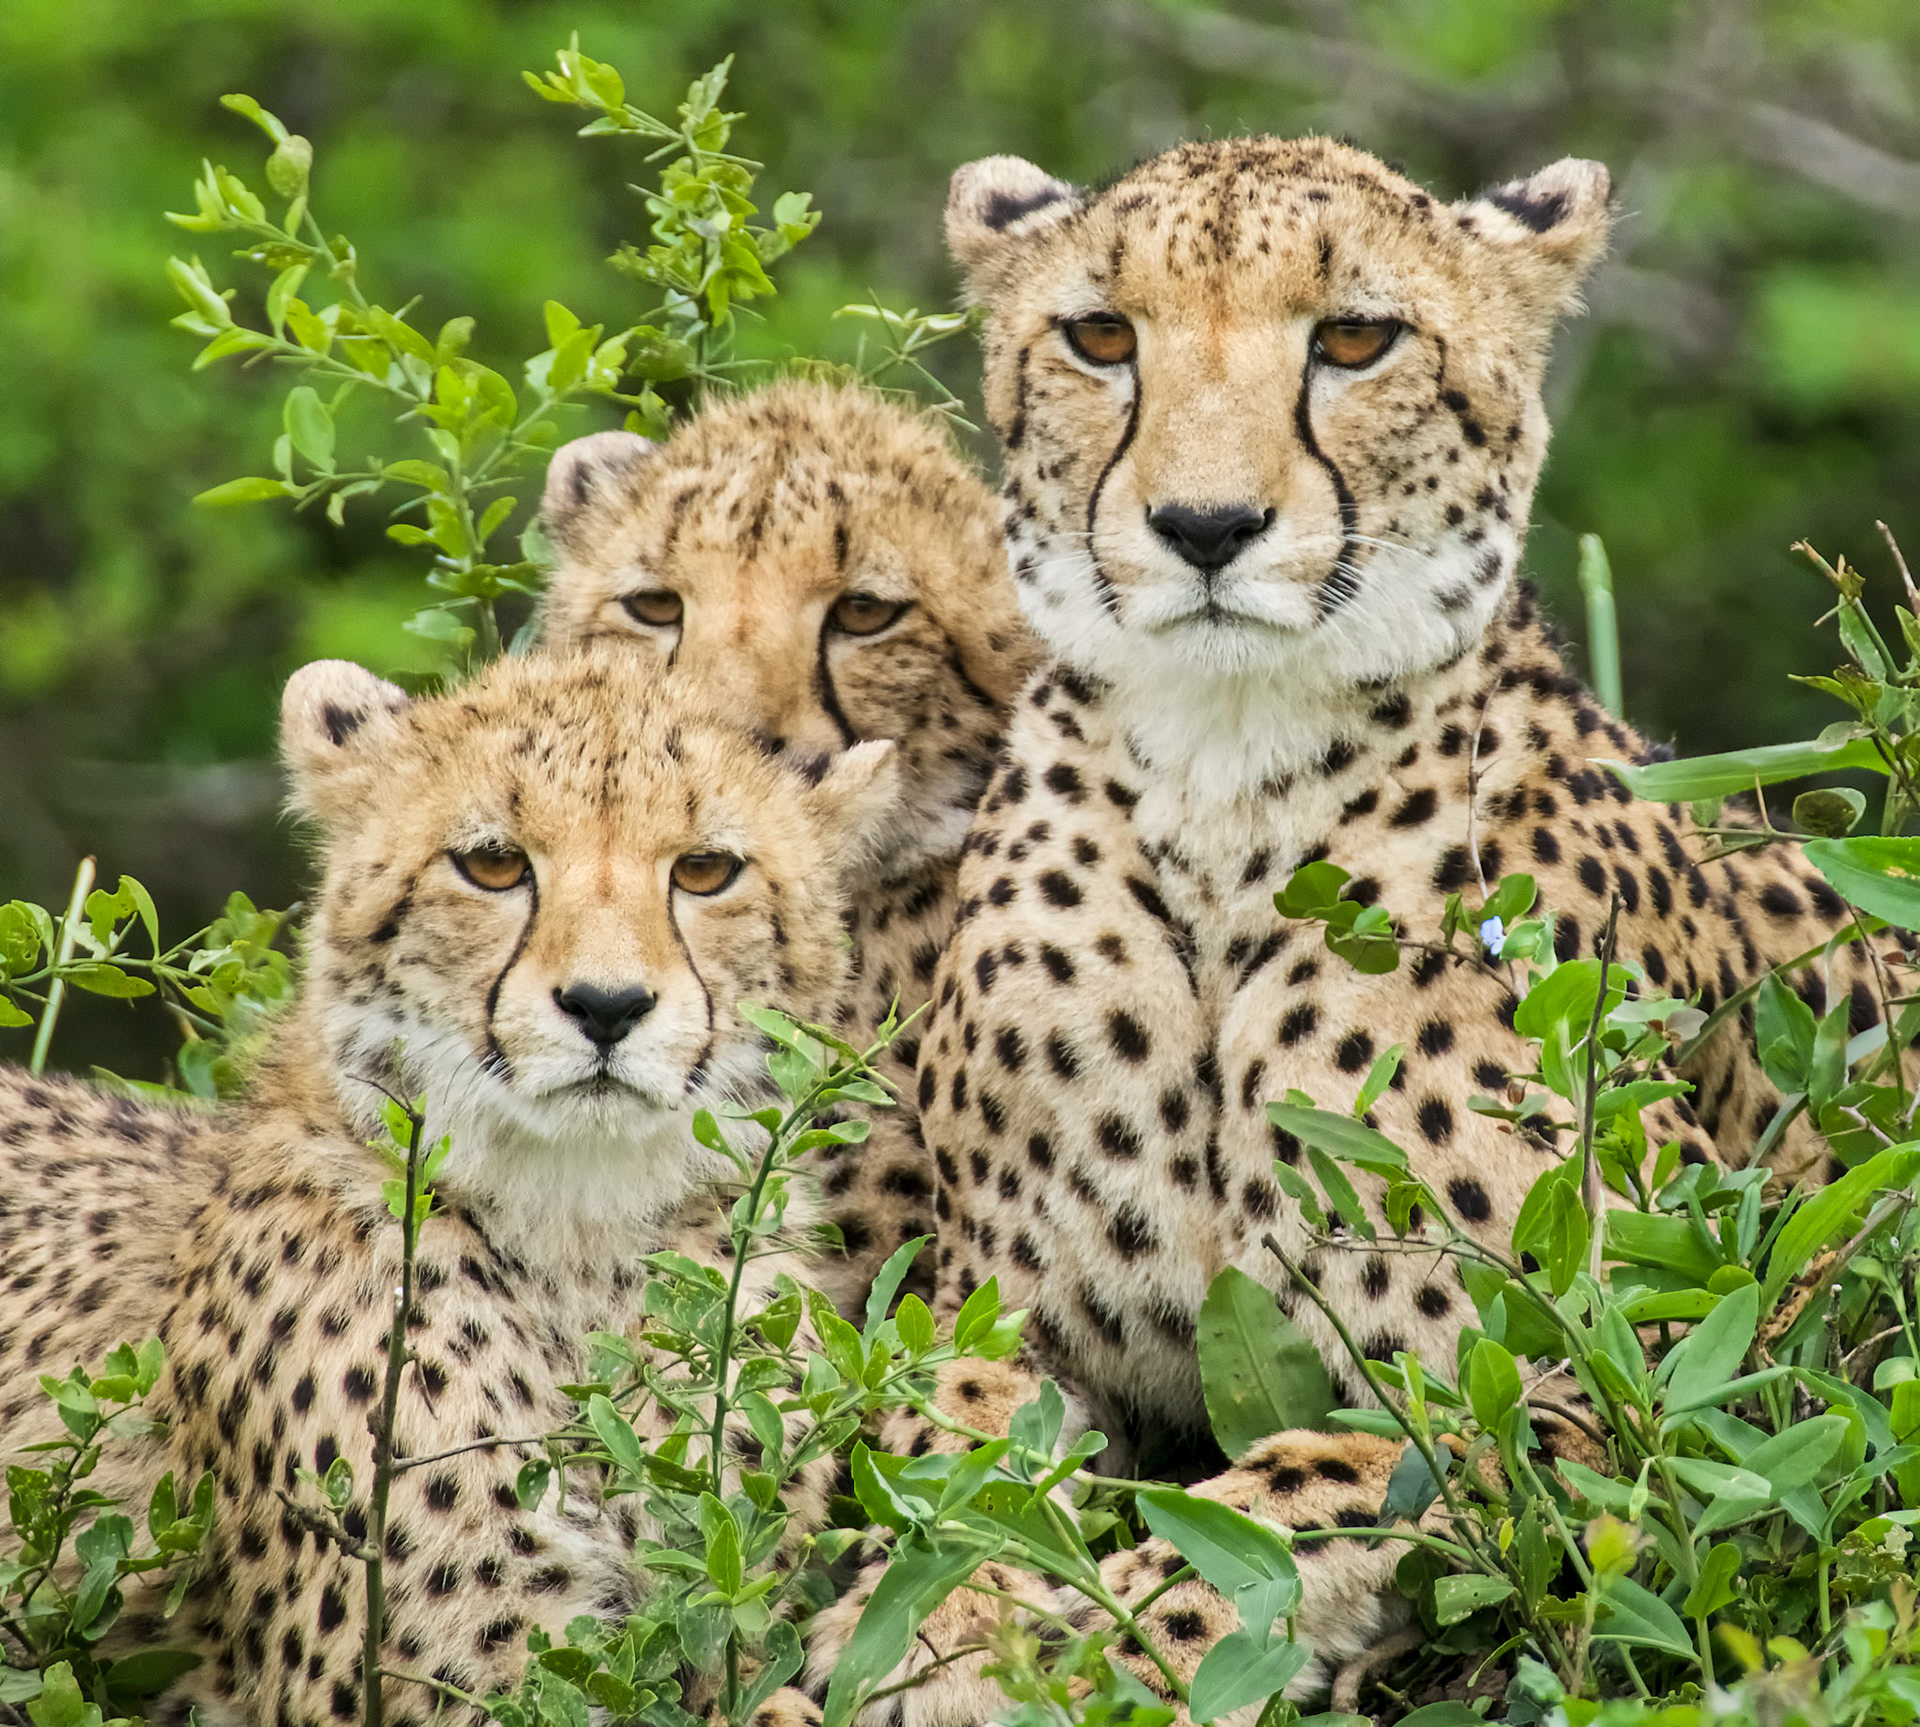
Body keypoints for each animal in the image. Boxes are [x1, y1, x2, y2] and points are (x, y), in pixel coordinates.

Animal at [0, 644, 901, 1727]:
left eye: (704, 869)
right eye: (493, 863)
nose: (607, 1004)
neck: (580, 1237)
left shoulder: (722, 1625)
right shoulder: (451, 1683)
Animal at [800, 136, 1908, 1723]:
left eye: (1356, 339)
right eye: (1100, 338)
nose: (1205, 530)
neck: (1224, 774)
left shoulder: (1633, 1362)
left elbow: (1290, 1502)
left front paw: (1074, 1644)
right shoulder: (1003, 1314)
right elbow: (952, 1457)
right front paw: (929, 1621)